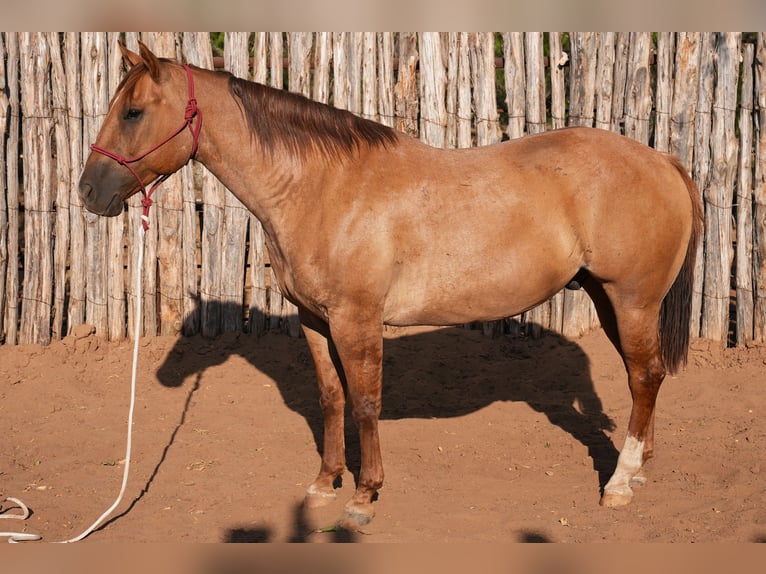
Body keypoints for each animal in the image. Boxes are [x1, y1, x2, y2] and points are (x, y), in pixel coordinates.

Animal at [78, 42, 703, 528]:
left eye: (133, 112)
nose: (88, 192)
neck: (321, 187)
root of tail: (663, 161)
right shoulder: (315, 319)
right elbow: (331, 399)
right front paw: (324, 483)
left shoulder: (357, 320)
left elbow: (365, 403)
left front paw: (363, 496)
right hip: (609, 299)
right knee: (642, 377)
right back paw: (638, 468)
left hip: (632, 299)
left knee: (644, 376)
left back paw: (619, 483)